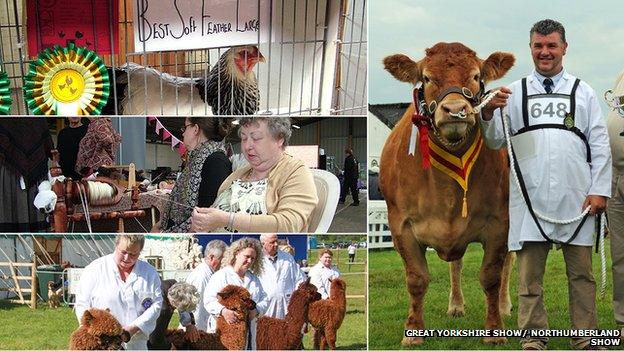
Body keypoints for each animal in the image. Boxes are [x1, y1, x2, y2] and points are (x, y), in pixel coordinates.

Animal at [380, 42, 516, 346]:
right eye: (427, 78)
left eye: (476, 76)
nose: (455, 110)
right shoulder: (401, 225)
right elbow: (416, 279)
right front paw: (413, 331)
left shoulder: (500, 222)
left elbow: (491, 275)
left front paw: (494, 329)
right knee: (457, 264)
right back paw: (455, 306)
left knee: (508, 264)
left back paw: (504, 306)